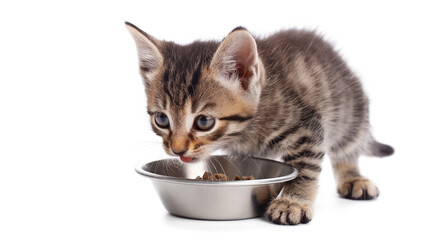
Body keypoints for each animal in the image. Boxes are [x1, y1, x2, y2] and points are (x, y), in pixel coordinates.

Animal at [124, 21, 394, 225]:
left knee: (348, 146)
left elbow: (306, 167)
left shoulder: (307, 126)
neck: (245, 130)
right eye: (161, 119)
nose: (177, 150)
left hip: (349, 112)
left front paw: (292, 202)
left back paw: (353, 178)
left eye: (204, 121)